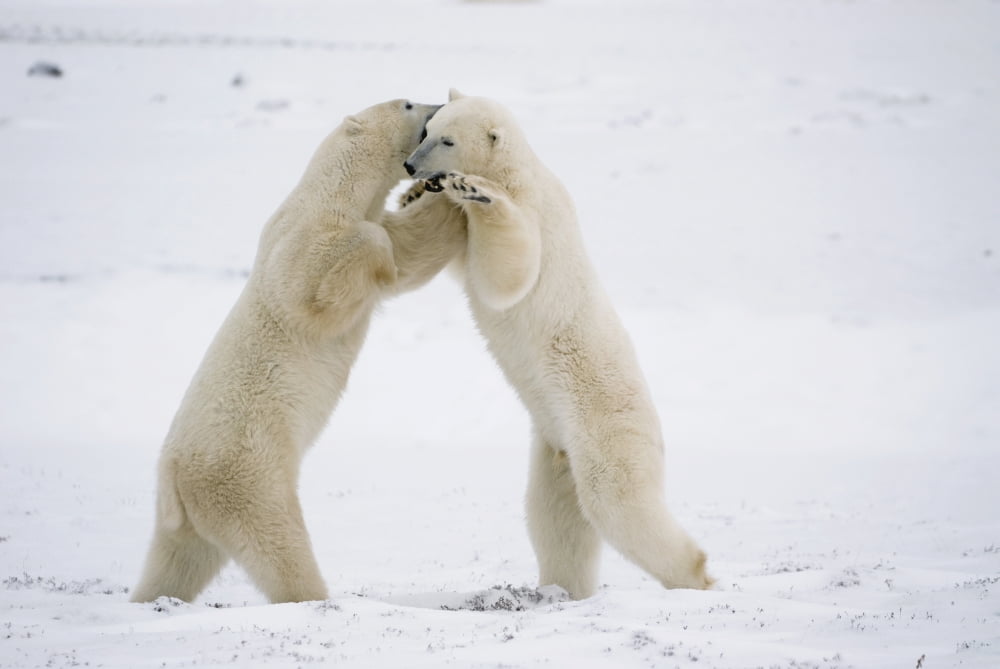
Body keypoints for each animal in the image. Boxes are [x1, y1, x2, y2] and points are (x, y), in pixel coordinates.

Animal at [130, 98, 468, 605]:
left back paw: (150, 599)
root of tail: (173, 479)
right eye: (408, 103)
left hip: (188, 518)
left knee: (175, 561)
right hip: (249, 475)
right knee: (279, 545)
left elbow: (413, 250)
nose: (438, 104)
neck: (333, 194)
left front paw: (445, 193)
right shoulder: (298, 240)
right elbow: (315, 287)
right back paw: (315, 596)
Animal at [403, 90, 714, 599]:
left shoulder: (533, 212)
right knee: (556, 517)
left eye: (448, 140)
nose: (410, 166)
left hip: (605, 430)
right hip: (556, 445)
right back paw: (559, 589)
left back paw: (696, 578)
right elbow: (462, 266)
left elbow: (507, 274)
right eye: (428, 130)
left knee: (620, 505)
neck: (516, 171)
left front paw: (474, 190)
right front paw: (411, 197)